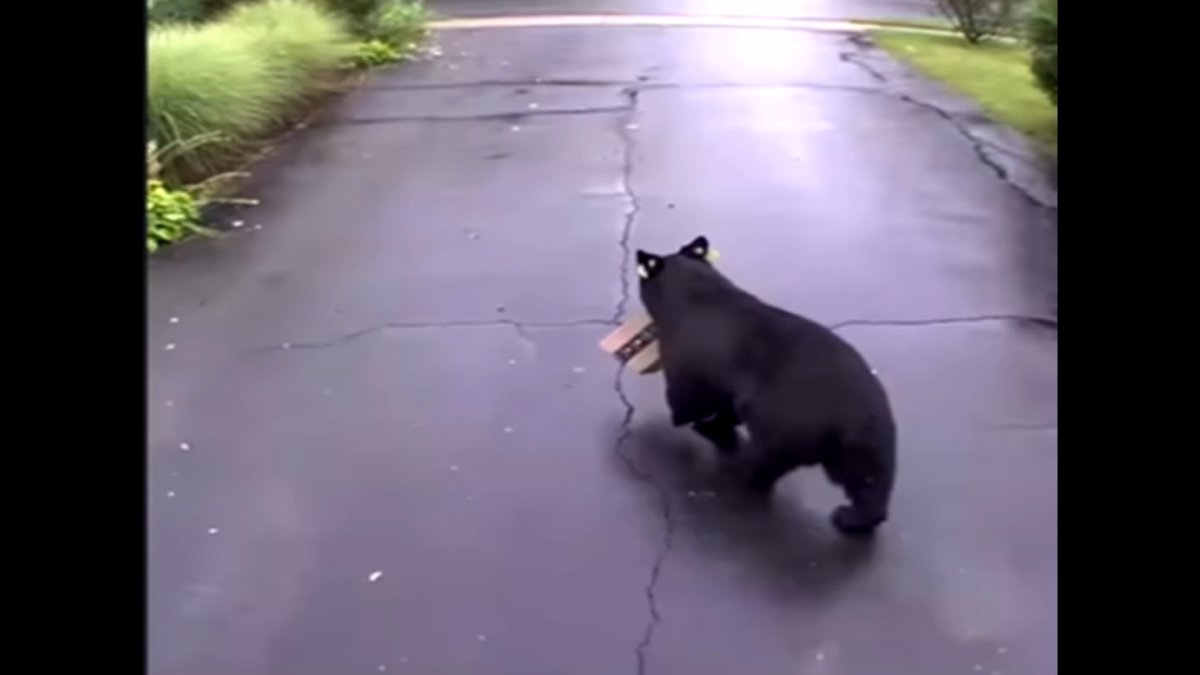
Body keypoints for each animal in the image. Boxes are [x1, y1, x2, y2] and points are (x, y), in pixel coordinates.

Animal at [633, 234, 897, 533]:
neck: (695, 294)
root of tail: (849, 420)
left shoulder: (688, 359)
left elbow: (688, 397)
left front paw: (694, 422)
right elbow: (726, 404)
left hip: (783, 425)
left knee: (764, 458)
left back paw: (741, 470)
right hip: (865, 445)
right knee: (868, 480)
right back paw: (854, 517)